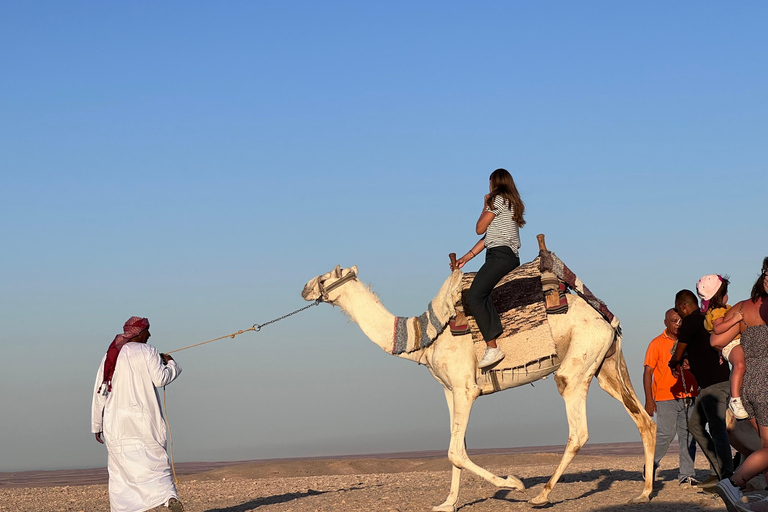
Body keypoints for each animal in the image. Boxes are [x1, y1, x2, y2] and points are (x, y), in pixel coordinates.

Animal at [301, 243, 656, 511]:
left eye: (326, 277)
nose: (304, 287)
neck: (425, 337)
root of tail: (606, 317)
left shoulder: (465, 388)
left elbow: (455, 451)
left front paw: (513, 482)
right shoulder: (450, 390)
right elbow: (456, 448)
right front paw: (447, 503)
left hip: (578, 361)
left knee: (578, 428)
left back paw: (541, 495)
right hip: (605, 365)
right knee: (644, 420)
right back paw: (644, 492)